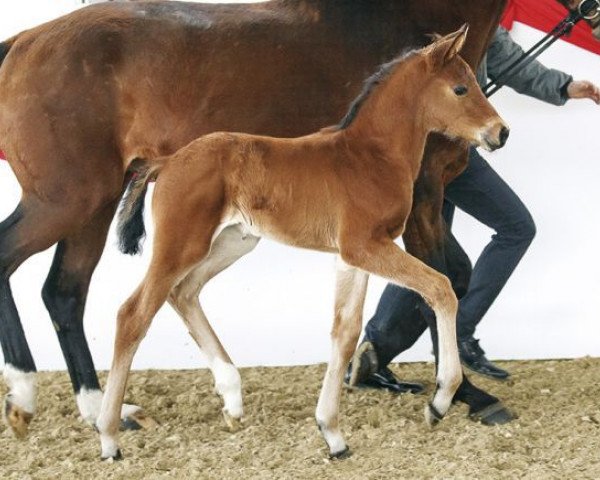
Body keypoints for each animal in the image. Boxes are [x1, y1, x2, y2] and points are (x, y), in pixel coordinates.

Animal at [97, 27, 506, 462]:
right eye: (461, 88)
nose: (501, 132)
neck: (372, 156)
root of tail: (168, 162)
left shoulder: (352, 258)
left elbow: (344, 332)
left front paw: (333, 434)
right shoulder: (366, 247)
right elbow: (441, 288)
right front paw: (439, 401)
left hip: (233, 242)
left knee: (184, 293)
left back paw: (232, 400)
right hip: (181, 244)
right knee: (134, 313)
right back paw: (108, 436)